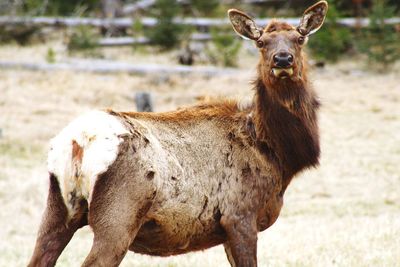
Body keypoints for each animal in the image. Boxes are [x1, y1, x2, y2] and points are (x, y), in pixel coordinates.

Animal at [28, 1, 328, 266]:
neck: (275, 153)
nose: (283, 59)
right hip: (117, 216)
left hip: (57, 208)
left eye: (299, 39)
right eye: (261, 43)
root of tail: (78, 142)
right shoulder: (240, 215)